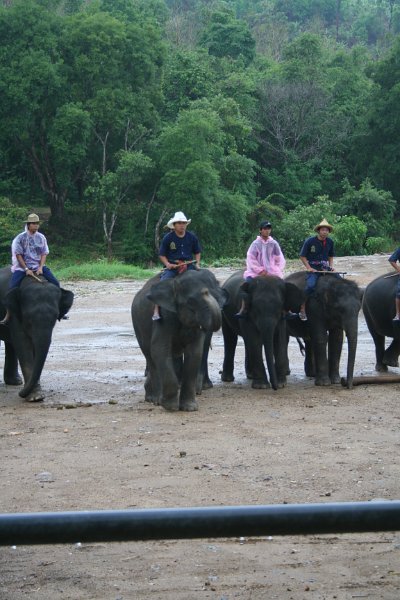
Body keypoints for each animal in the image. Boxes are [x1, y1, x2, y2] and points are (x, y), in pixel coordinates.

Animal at [0, 267, 74, 401]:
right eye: (28, 317)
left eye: (55, 317)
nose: (20, 393)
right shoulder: (14, 313)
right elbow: (23, 344)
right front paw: (35, 397)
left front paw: (37, 395)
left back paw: (15, 382)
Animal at [131, 269, 228, 412]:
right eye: (190, 301)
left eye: (219, 301)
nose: (205, 291)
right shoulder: (164, 316)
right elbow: (159, 349)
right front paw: (170, 407)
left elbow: (195, 353)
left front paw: (190, 408)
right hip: (138, 324)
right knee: (150, 355)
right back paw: (154, 399)